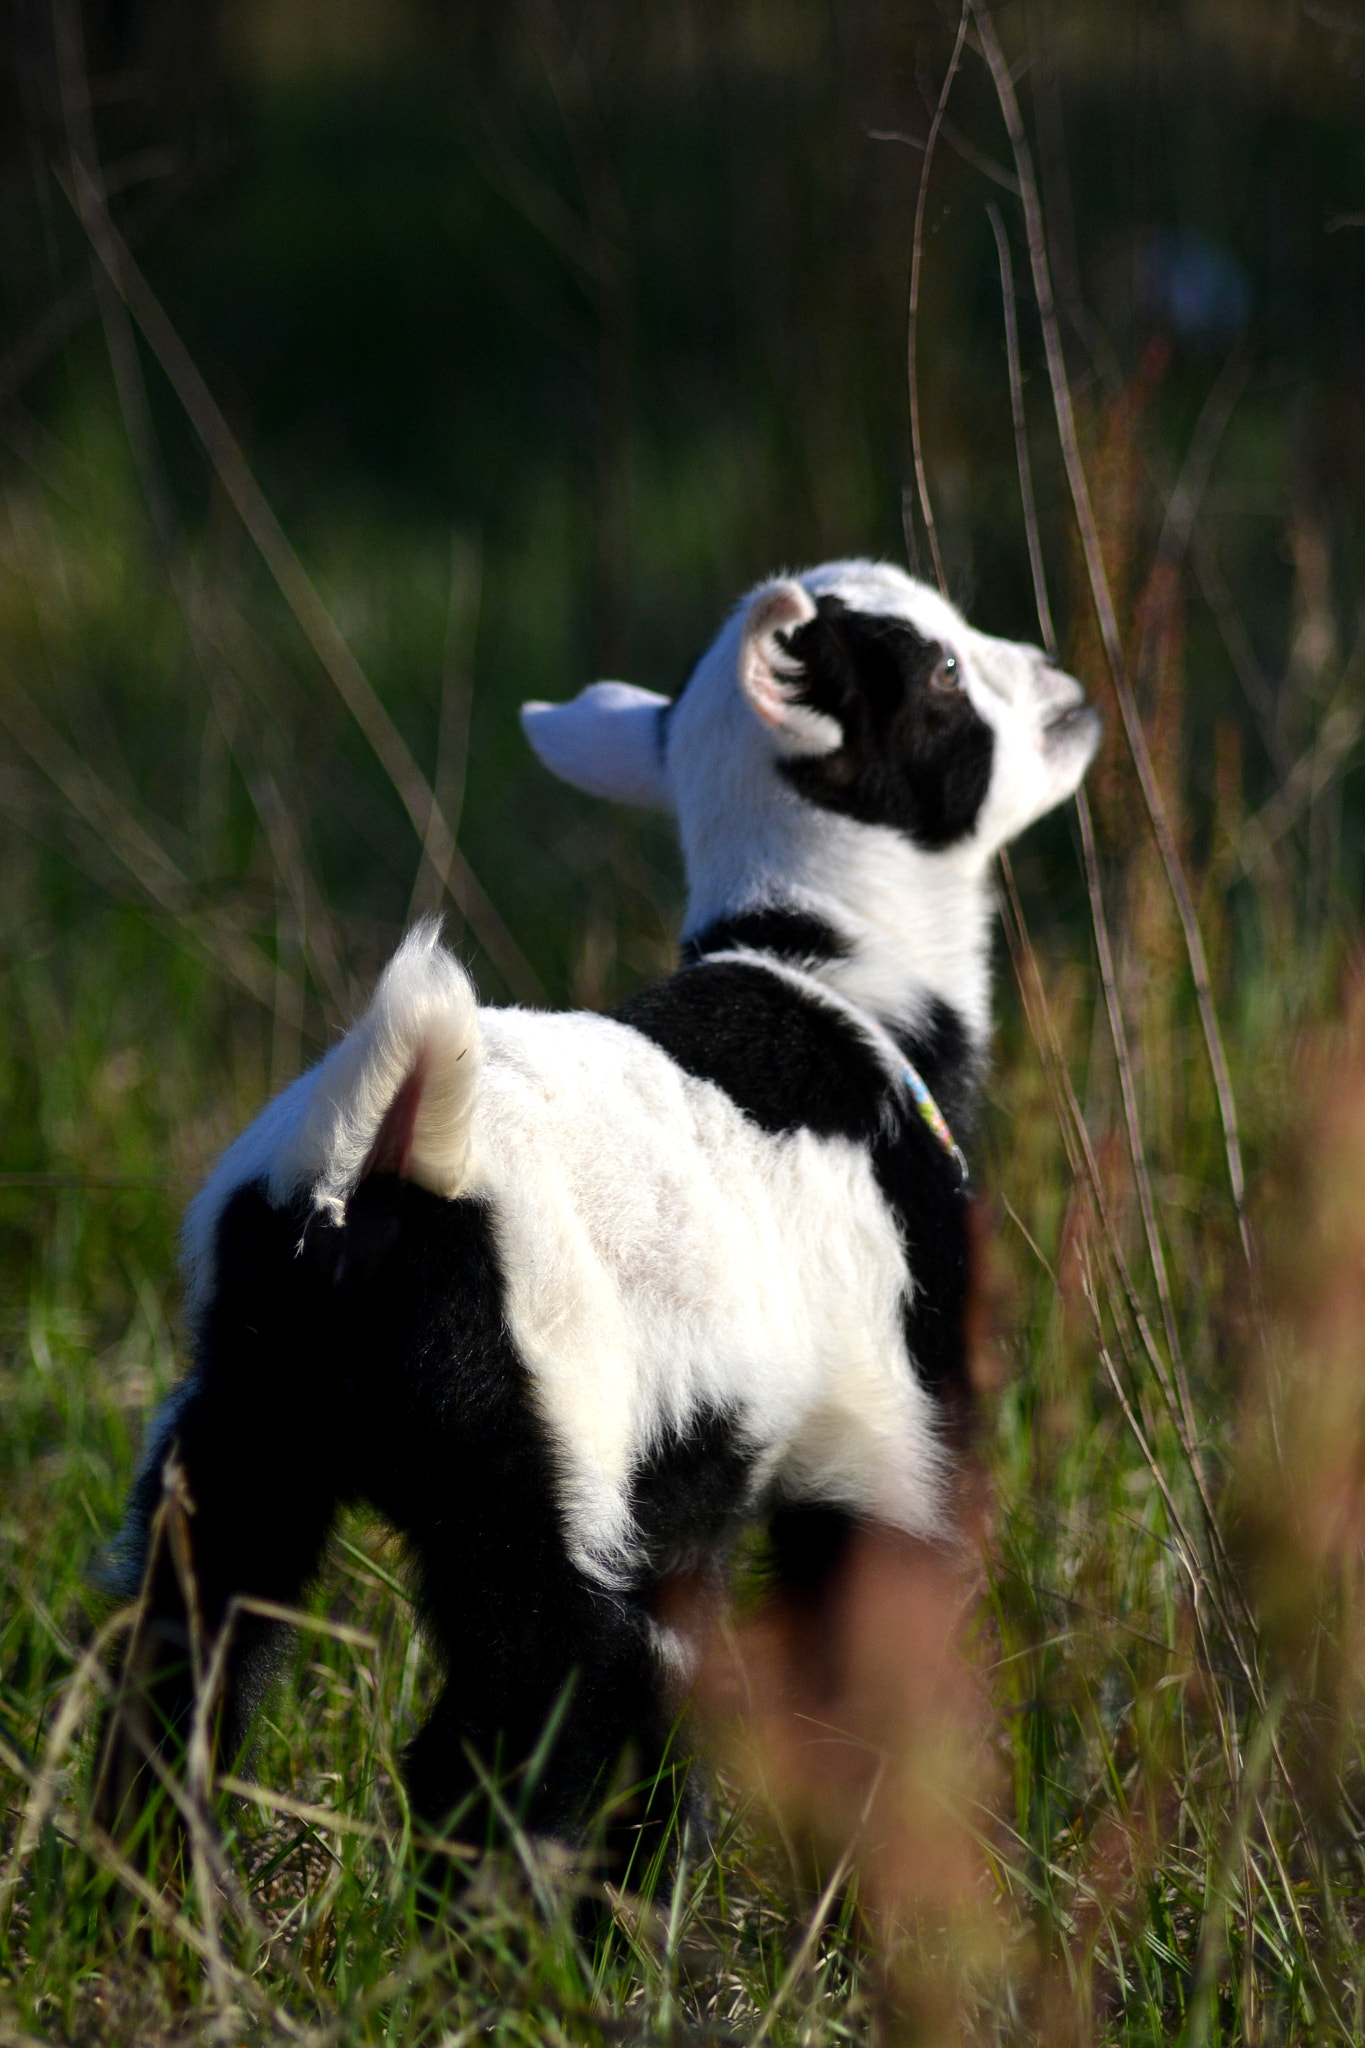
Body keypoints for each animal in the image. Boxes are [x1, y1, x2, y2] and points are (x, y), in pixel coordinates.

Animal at [98, 552, 1096, 1867]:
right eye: (938, 669)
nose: (1062, 686)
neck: (837, 978)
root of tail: (368, 1159)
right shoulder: (891, 1434)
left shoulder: (681, 1499)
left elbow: (677, 1718)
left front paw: (654, 1899)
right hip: (530, 1449)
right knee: (504, 1726)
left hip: (245, 1420)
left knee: (181, 1672)